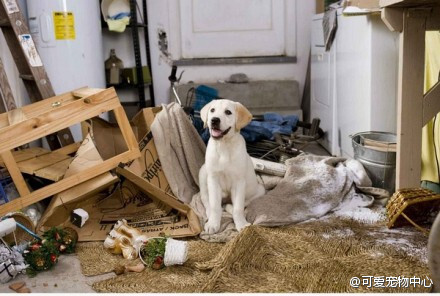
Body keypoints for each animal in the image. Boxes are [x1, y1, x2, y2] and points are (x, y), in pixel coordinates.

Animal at [199, 99, 264, 234]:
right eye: (212, 110)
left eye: (228, 112)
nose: (214, 120)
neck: (224, 145)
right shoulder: (213, 179)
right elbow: (214, 205)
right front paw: (213, 223)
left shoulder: (239, 182)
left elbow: (238, 207)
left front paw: (241, 224)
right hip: (203, 173)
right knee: (205, 199)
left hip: (260, 189)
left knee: (242, 203)